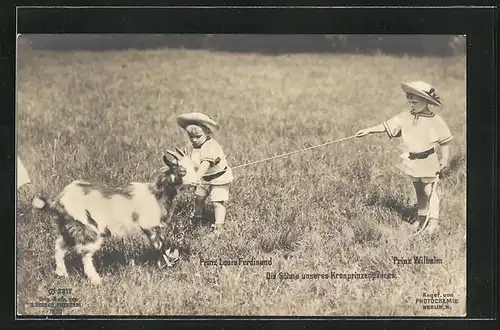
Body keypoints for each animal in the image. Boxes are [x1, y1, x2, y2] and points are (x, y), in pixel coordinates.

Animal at [30, 148, 199, 284]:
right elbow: (159, 246)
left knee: (60, 246)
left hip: (69, 226)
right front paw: (165, 266)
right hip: (87, 226)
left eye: (195, 167)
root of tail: (58, 200)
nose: (197, 182)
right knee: (85, 253)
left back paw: (62, 274)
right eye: (181, 171)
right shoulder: (150, 226)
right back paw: (96, 280)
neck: (156, 193)